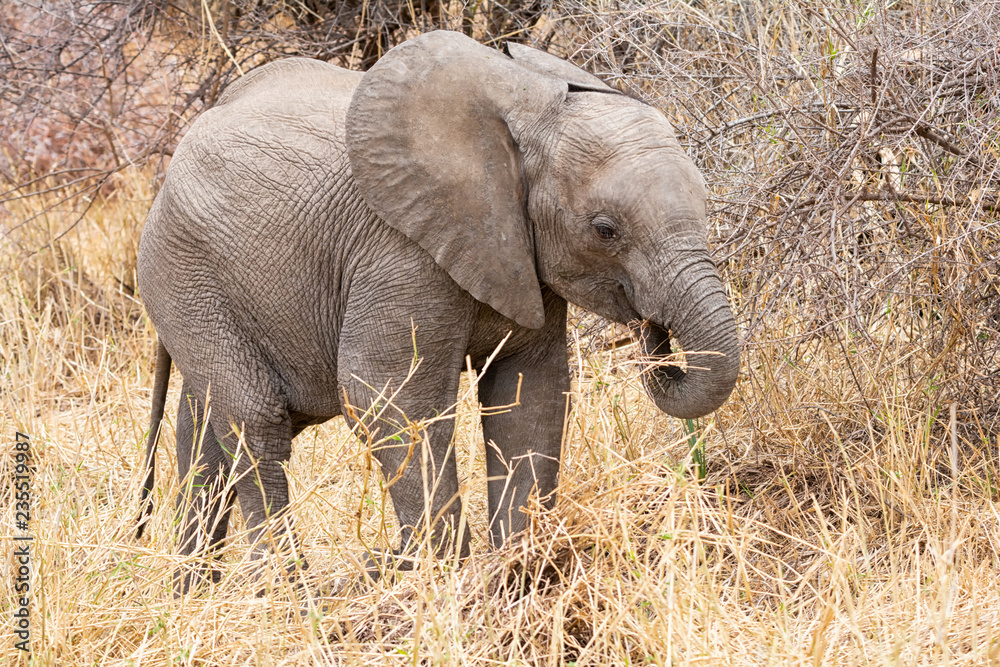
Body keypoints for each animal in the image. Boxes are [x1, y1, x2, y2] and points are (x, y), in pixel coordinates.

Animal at [135, 30, 740, 587]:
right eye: (606, 230)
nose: (652, 330)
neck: (526, 112)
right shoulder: (401, 251)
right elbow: (387, 392)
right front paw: (438, 576)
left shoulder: (519, 256)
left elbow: (531, 393)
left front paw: (518, 569)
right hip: (180, 272)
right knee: (257, 420)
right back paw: (287, 589)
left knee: (206, 425)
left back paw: (193, 591)